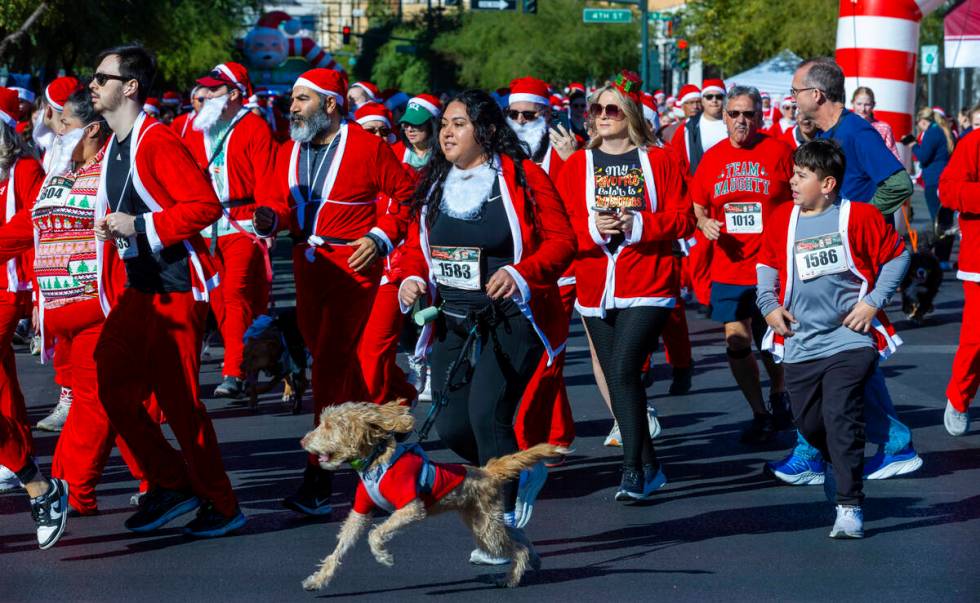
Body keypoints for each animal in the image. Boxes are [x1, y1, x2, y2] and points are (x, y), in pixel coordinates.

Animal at [298, 402, 564, 588]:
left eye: (330, 425)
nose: (303, 441)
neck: (376, 462)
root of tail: (485, 472)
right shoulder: (360, 512)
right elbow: (340, 547)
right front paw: (319, 579)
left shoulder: (411, 507)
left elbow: (375, 533)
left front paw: (383, 557)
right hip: (483, 520)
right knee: (519, 534)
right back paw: (534, 558)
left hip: (485, 528)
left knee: (516, 548)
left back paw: (511, 578)